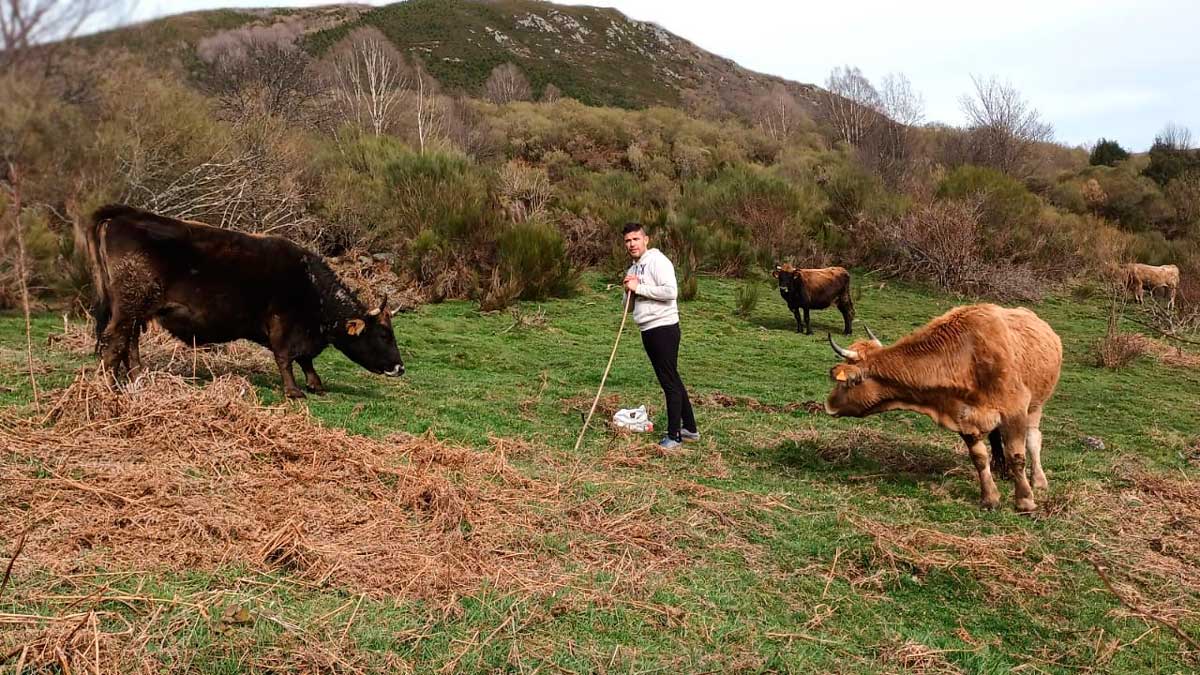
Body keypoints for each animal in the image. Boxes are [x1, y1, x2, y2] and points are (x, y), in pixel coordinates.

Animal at [825, 303, 1060, 509]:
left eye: (847, 382)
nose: (828, 405)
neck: (967, 356)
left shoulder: (1015, 410)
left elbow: (1017, 456)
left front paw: (1025, 500)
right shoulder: (963, 416)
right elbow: (979, 458)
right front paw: (989, 498)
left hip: (1036, 405)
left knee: (1033, 439)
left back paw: (1039, 480)